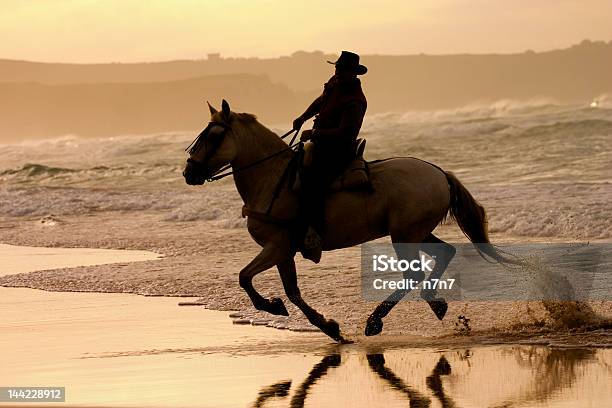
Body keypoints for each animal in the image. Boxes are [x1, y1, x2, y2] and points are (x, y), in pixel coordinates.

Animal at [184, 100, 512, 342]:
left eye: (213, 136)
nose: (189, 172)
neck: (272, 179)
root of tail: (439, 173)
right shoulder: (283, 251)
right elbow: (291, 292)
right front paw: (329, 327)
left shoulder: (277, 246)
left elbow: (246, 277)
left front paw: (271, 306)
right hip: (415, 231)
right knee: (444, 253)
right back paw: (435, 303)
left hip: (404, 234)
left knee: (413, 275)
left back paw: (377, 320)